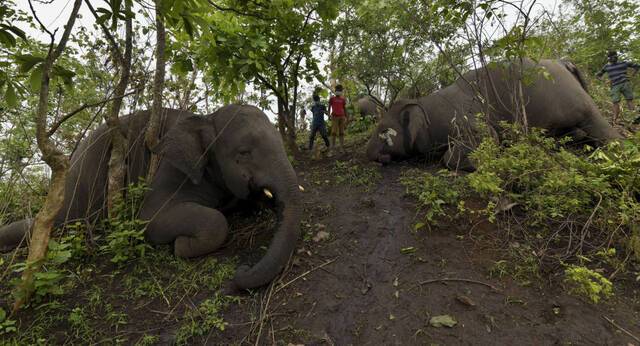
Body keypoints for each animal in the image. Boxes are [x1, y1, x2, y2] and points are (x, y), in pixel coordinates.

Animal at [0, 105, 302, 290]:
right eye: (244, 153)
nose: (243, 268)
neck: (205, 118)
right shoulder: (170, 169)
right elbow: (153, 218)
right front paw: (181, 246)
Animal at [368, 58, 624, 170]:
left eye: (383, 132)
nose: (368, 153)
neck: (423, 103)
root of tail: (564, 62)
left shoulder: (464, 117)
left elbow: (486, 137)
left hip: (572, 98)